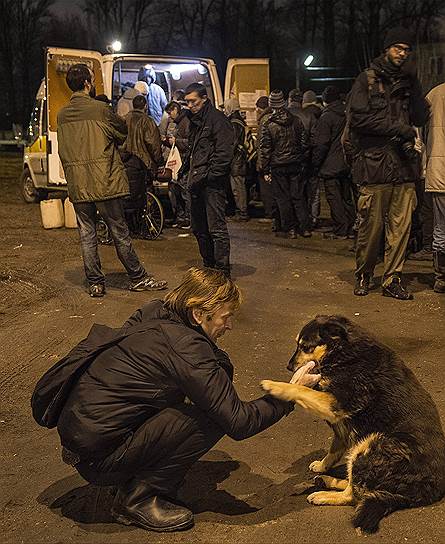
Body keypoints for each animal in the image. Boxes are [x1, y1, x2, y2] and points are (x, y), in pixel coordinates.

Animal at [260, 316, 444, 532]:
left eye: (306, 347)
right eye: (297, 345)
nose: (289, 367)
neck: (343, 352)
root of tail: (429, 489)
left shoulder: (335, 404)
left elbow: (301, 390)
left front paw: (275, 386)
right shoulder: (341, 420)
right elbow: (335, 448)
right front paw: (323, 465)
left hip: (371, 445)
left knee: (354, 495)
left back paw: (324, 494)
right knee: (356, 485)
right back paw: (327, 479)